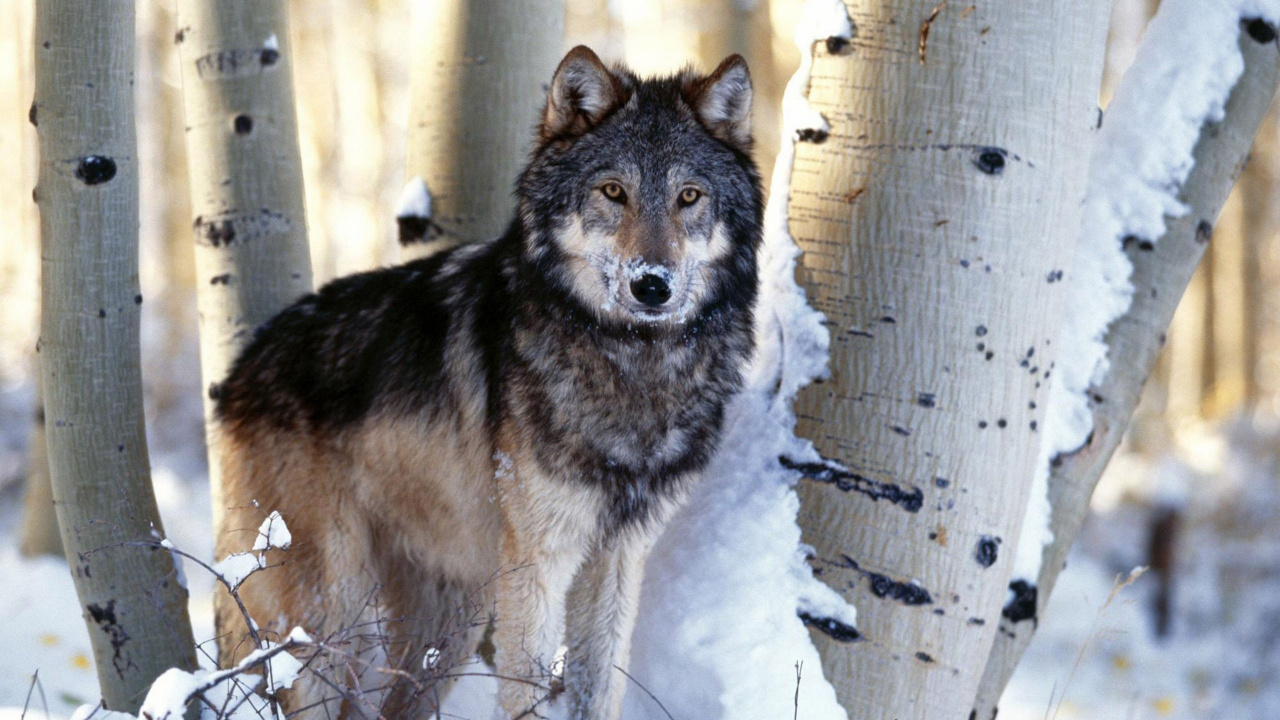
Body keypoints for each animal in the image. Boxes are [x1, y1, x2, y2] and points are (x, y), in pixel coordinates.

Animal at [213, 45, 763, 719]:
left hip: (452, 620)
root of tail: (239, 371)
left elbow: (598, 688)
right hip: (327, 615)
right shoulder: (539, 561)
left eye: (689, 196)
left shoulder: (618, 559)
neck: (632, 364)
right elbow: (525, 692)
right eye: (613, 191)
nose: (652, 285)